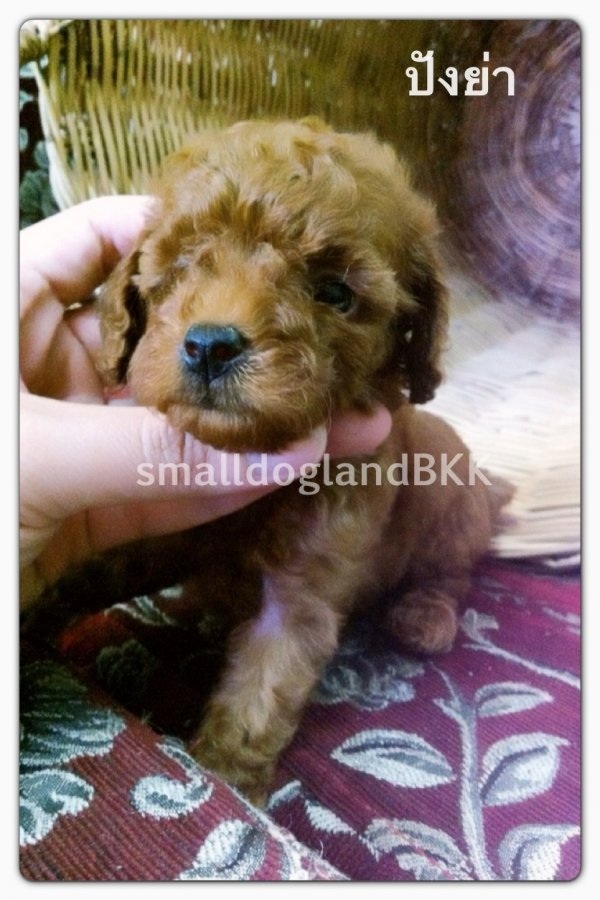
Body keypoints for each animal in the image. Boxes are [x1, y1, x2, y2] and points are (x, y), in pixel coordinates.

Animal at [27, 118, 509, 805]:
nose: (210, 345)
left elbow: (261, 692)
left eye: (335, 293)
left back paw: (424, 619)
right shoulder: (161, 524)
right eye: (180, 269)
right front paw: (34, 609)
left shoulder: (304, 585)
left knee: (449, 576)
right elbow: (96, 566)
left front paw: (225, 780)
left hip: (452, 516)